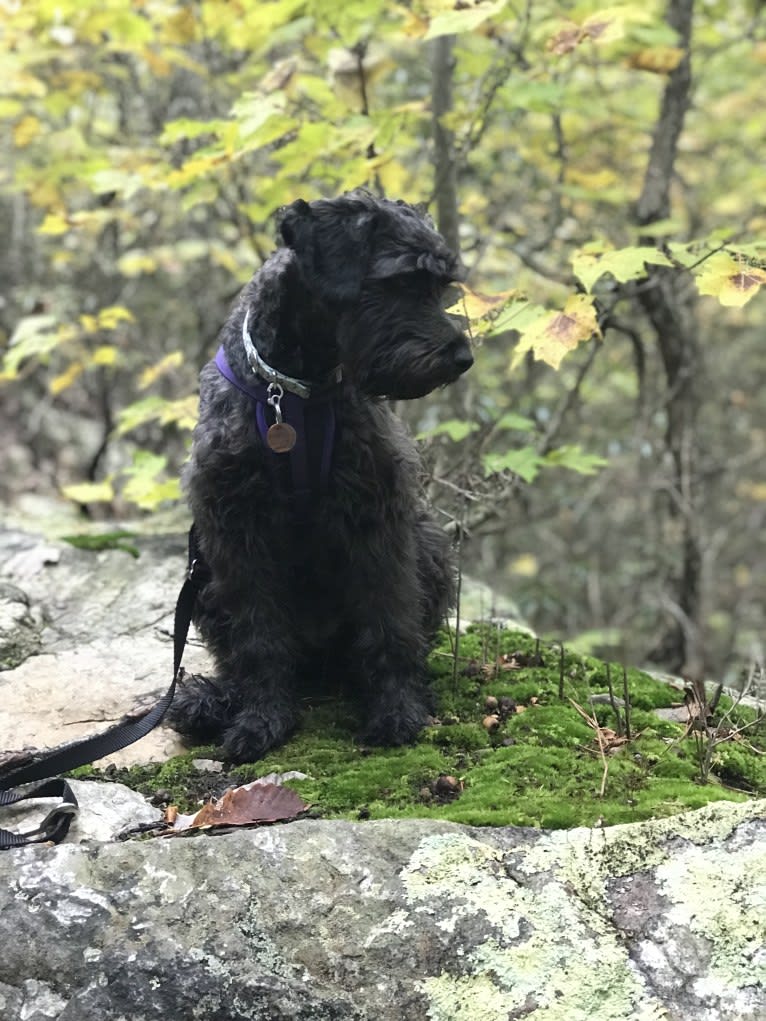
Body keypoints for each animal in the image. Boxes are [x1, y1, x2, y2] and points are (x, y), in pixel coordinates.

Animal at [167, 192, 473, 767]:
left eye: (440, 287)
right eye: (399, 282)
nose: (463, 357)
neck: (292, 391)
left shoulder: (376, 517)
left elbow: (387, 621)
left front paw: (397, 710)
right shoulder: (236, 533)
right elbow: (259, 638)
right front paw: (262, 720)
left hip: (429, 548)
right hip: (206, 581)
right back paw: (213, 702)